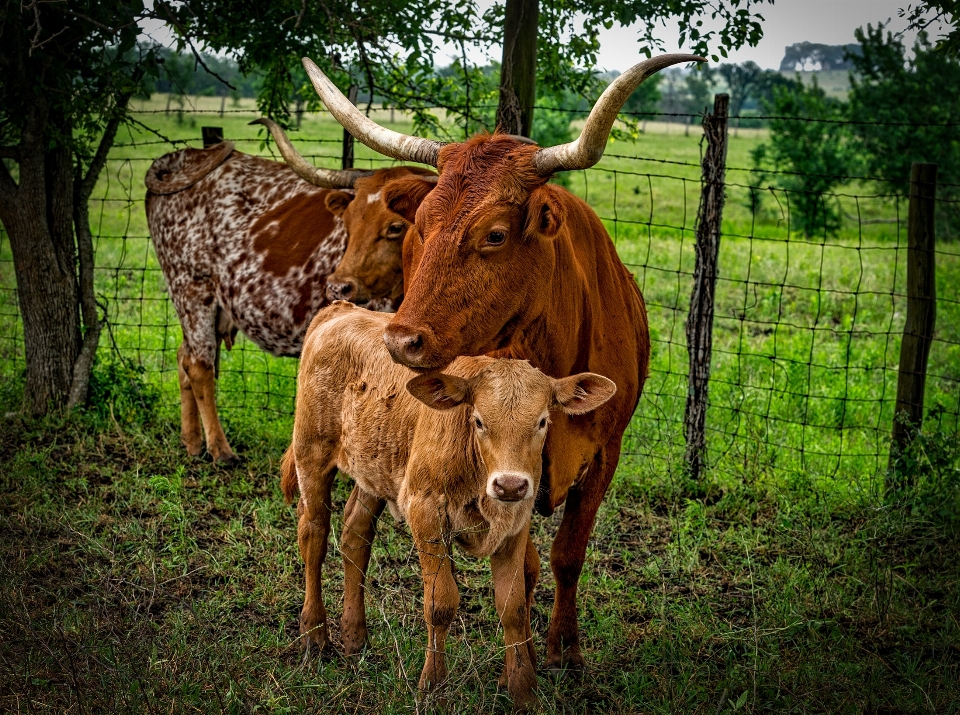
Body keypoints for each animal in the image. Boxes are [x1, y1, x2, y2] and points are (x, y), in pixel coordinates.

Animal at [147, 123, 432, 462]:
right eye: (348, 223)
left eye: (395, 227)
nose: (339, 286)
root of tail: (183, 156)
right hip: (191, 288)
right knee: (199, 365)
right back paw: (220, 448)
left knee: (183, 356)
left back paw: (191, 441)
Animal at [282, 302, 620, 712]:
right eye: (479, 420)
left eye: (542, 421)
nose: (510, 484)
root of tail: (340, 310)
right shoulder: (426, 512)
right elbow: (440, 602)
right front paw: (432, 687)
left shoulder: (515, 525)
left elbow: (513, 606)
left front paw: (524, 693)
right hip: (312, 453)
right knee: (313, 535)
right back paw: (315, 635)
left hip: (374, 469)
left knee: (354, 535)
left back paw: (354, 636)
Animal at [292, 53, 704, 668]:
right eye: (421, 227)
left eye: (495, 234)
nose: (401, 341)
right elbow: (528, 566)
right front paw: (527, 650)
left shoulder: (606, 452)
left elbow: (568, 554)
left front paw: (564, 650)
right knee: (317, 526)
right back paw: (317, 632)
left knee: (354, 527)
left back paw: (353, 631)